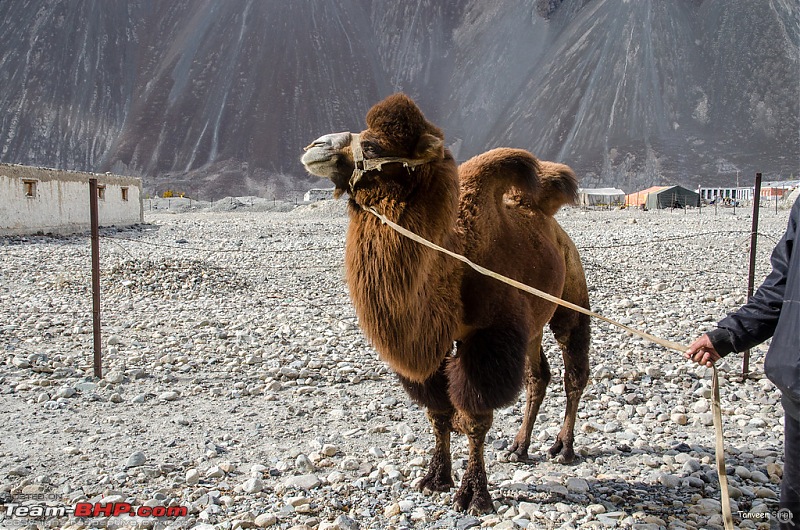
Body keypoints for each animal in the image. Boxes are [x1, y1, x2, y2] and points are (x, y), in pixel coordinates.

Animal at [300, 94, 588, 512]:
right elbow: (438, 412)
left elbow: (475, 418)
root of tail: (555, 227)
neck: (452, 260)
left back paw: (564, 447)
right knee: (538, 376)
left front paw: (474, 495)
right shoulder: (431, 341)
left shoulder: (488, 338)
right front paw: (435, 478)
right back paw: (519, 447)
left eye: (372, 146)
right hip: (533, 322)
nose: (313, 146)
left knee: (574, 369)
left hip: (571, 294)